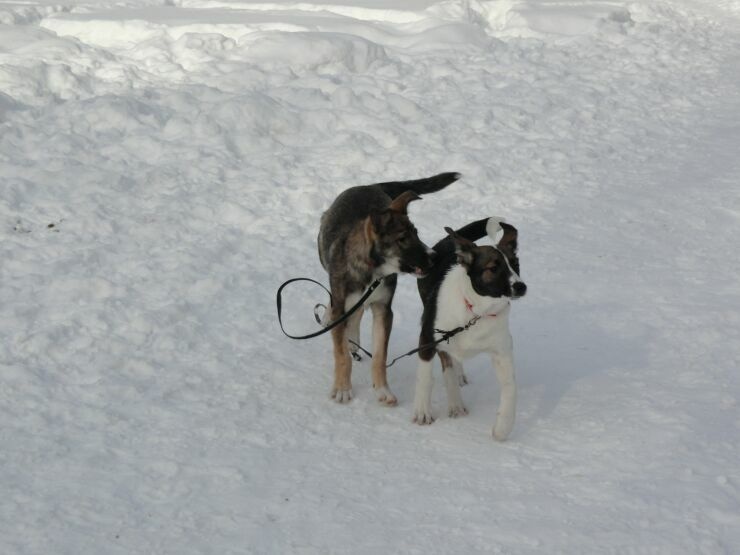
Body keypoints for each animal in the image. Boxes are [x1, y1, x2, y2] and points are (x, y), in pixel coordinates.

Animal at [317, 172, 460, 404]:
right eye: (402, 239)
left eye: (417, 233)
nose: (435, 257)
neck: (372, 272)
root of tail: (369, 185)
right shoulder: (342, 305)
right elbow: (341, 354)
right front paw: (342, 389)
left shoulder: (384, 310)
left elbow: (379, 356)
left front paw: (382, 390)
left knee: (357, 314)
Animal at [412, 217, 526, 440]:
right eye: (493, 268)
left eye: (516, 264)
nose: (521, 287)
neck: (477, 312)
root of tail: (451, 240)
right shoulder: (428, 338)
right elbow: (425, 377)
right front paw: (422, 412)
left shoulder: (502, 351)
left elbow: (511, 388)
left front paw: (503, 427)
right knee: (446, 362)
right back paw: (455, 400)